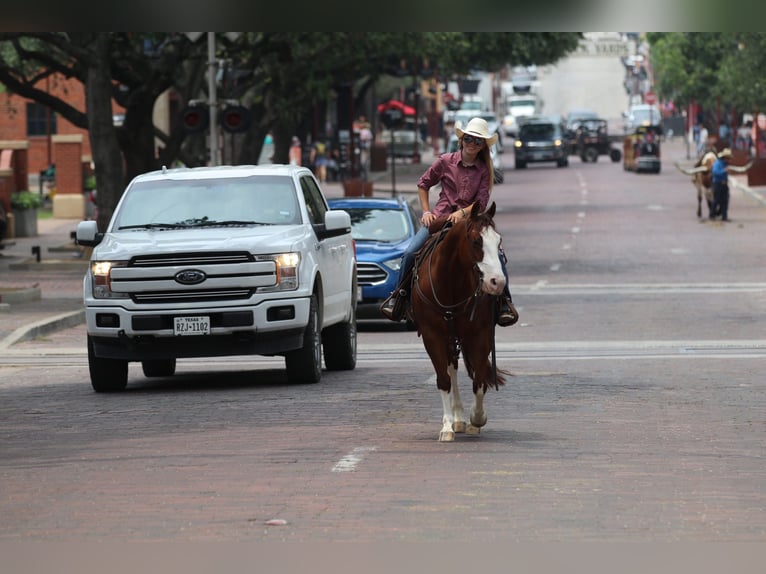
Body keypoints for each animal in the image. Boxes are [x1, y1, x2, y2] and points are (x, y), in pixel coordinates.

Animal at [412, 204, 512, 446]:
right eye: (476, 241)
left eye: (499, 240)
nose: (497, 283)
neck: (451, 282)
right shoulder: (431, 335)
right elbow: (443, 380)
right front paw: (447, 426)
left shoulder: (480, 334)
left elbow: (480, 377)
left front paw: (477, 418)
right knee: (452, 369)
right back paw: (456, 419)